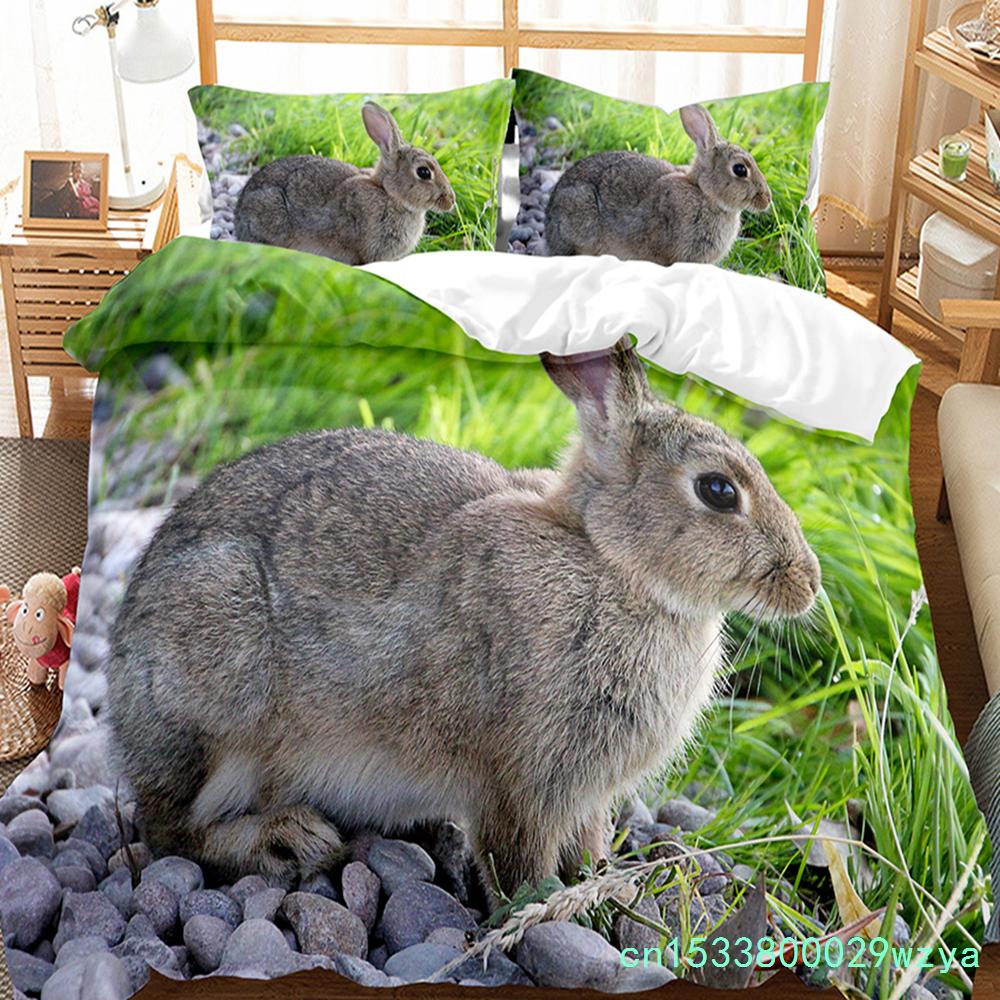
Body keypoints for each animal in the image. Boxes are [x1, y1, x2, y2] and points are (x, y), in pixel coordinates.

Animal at [106, 340, 819, 899]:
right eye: (718, 491)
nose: (807, 583)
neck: (609, 560)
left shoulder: (584, 794)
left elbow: (586, 844)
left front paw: (602, 882)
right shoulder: (522, 777)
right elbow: (519, 860)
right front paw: (554, 909)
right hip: (214, 693)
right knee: (170, 831)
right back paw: (286, 840)